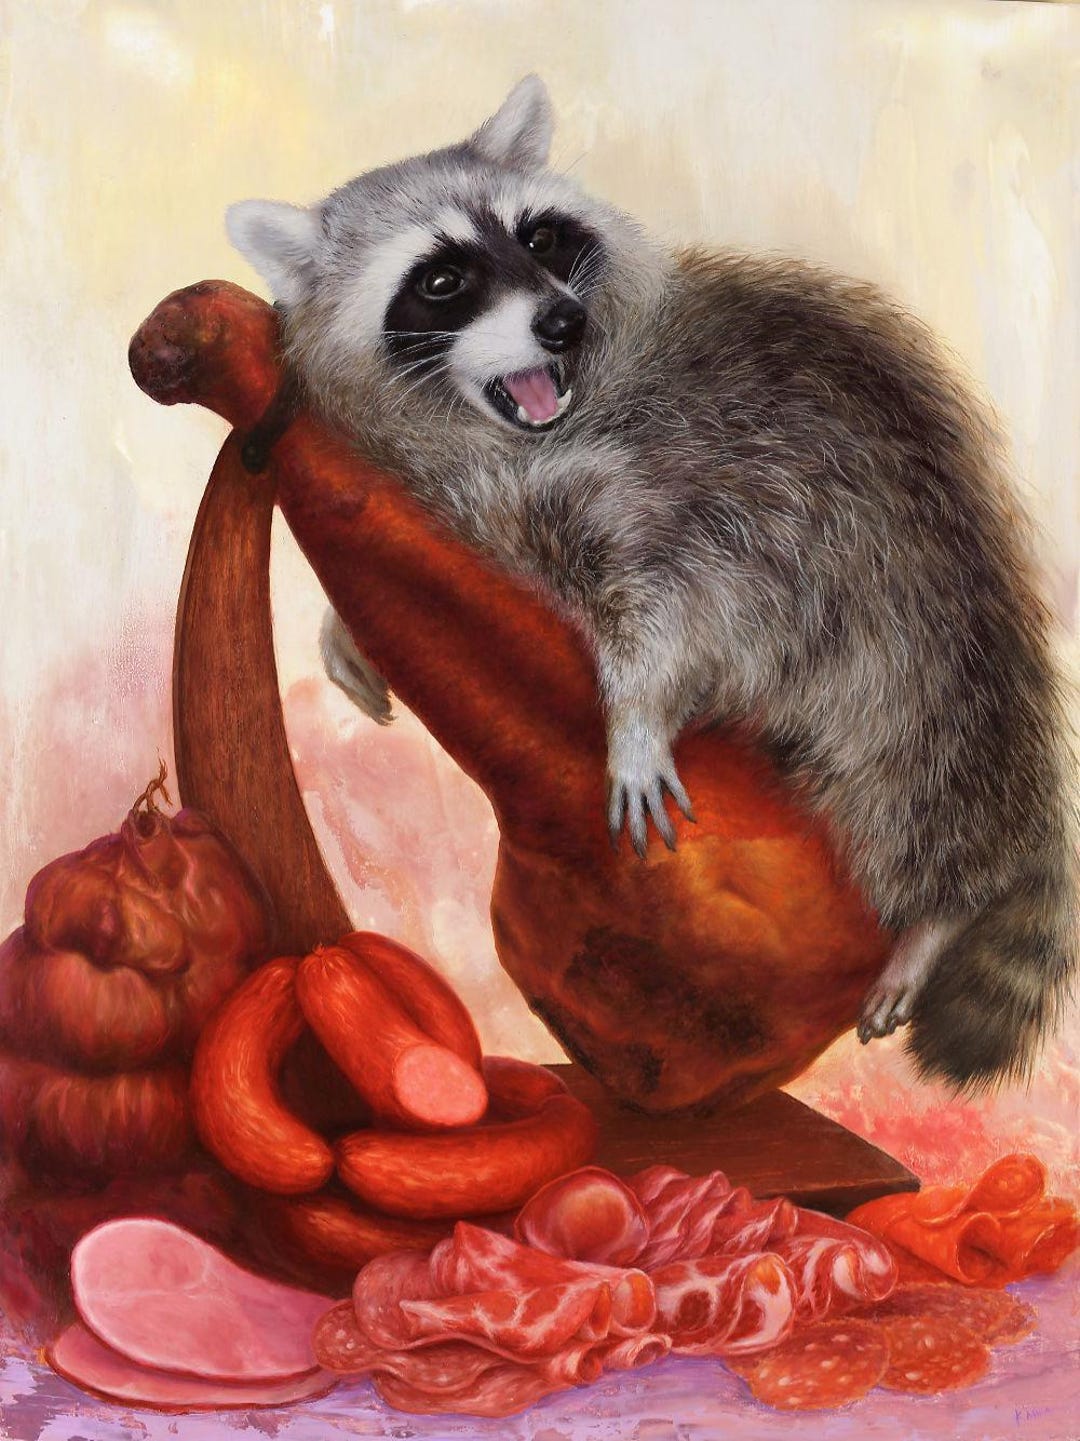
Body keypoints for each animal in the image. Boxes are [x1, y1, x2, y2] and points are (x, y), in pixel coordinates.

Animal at [227, 75, 1076, 1090]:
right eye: (442, 279)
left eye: (540, 236)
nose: (563, 320)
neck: (511, 427)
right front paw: (341, 626)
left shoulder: (687, 483)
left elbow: (673, 606)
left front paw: (634, 717)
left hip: (908, 630)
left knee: (902, 765)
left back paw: (937, 912)